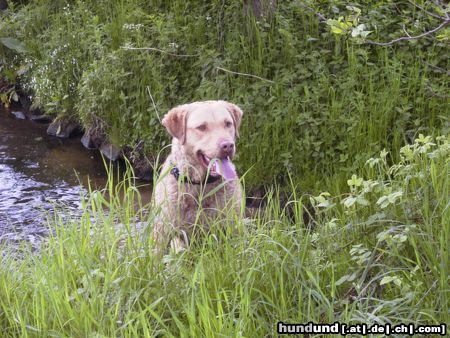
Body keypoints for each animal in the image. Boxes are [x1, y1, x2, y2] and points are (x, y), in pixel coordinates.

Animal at [152, 100, 244, 254]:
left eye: (228, 123)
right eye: (201, 127)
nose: (228, 145)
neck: (200, 185)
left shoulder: (231, 225)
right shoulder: (163, 229)